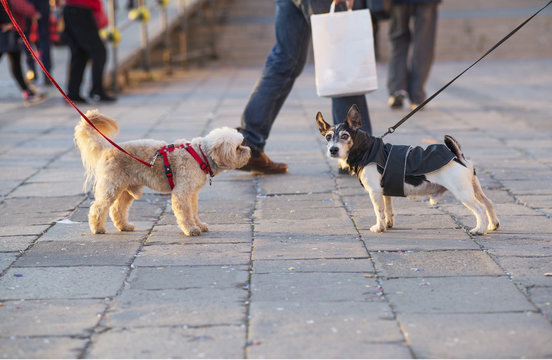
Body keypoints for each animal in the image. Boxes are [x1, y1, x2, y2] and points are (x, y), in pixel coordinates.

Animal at [74, 111, 251, 238]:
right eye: (237, 148)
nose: (249, 150)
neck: (201, 155)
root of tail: (107, 148)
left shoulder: (192, 194)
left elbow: (193, 211)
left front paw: (199, 225)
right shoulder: (182, 193)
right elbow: (186, 213)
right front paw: (191, 229)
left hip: (127, 189)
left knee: (118, 209)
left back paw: (124, 226)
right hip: (111, 187)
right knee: (99, 207)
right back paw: (97, 228)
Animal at [314, 105, 500, 233]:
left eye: (345, 136)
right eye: (328, 137)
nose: (333, 150)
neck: (366, 149)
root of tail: (458, 157)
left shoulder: (374, 192)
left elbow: (378, 211)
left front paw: (379, 227)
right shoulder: (385, 192)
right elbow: (388, 210)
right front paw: (387, 224)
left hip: (463, 193)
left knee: (480, 209)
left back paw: (479, 230)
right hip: (474, 189)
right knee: (488, 203)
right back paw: (492, 225)